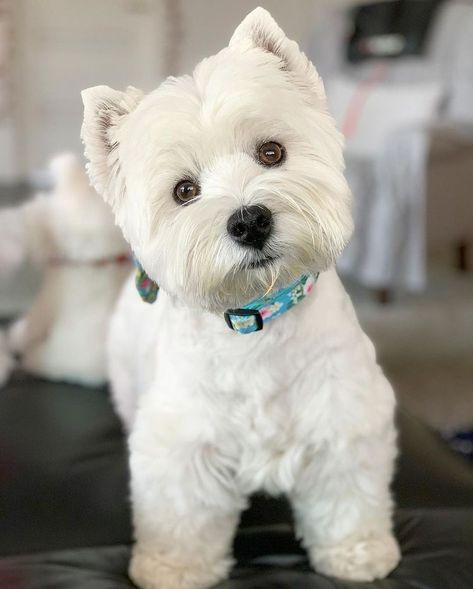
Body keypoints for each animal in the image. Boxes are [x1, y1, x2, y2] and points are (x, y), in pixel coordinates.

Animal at [80, 6, 398, 584]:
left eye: (271, 152)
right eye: (184, 191)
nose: (250, 221)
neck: (257, 320)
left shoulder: (346, 420)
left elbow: (348, 499)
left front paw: (358, 553)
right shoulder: (182, 446)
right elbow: (180, 517)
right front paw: (173, 569)